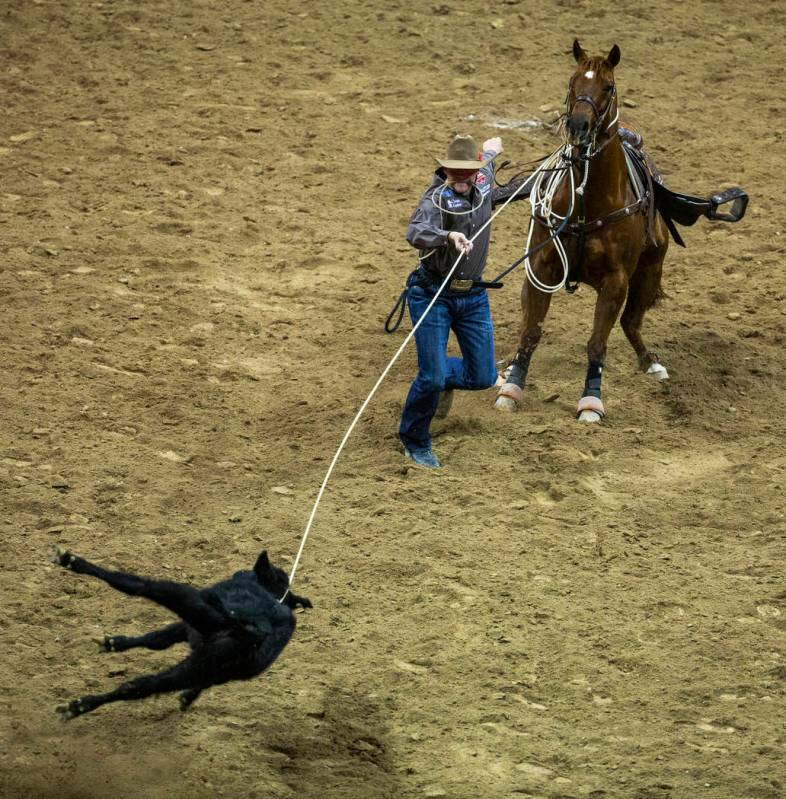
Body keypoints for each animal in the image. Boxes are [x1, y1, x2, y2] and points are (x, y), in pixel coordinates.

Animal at [47, 548, 312, 720]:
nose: (240, 571)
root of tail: (253, 629)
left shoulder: (190, 624)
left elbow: (157, 639)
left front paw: (114, 642)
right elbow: (157, 641)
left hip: (185, 601)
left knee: (141, 586)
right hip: (202, 662)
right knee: (146, 685)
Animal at [494, 40, 664, 422]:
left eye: (609, 86)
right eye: (573, 82)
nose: (578, 125)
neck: (589, 202)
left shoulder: (616, 282)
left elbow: (597, 343)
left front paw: (591, 402)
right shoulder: (540, 269)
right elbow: (531, 331)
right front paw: (511, 388)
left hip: (651, 267)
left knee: (632, 322)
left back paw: (650, 362)